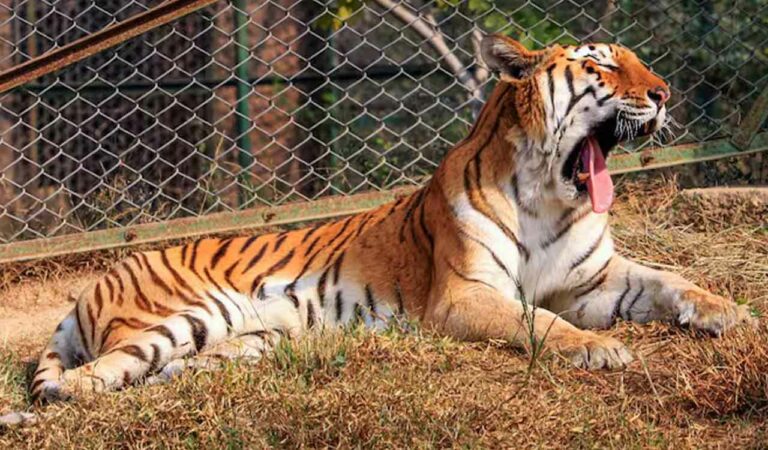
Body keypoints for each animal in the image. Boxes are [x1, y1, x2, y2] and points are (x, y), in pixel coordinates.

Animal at [26, 34, 754, 405]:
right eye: (603, 64)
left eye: (638, 62)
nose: (664, 93)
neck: (551, 192)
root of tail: (92, 286)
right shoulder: (466, 295)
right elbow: (536, 321)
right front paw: (598, 349)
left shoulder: (594, 281)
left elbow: (669, 279)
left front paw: (731, 312)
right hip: (174, 318)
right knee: (83, 381)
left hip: (252, 335)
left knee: (171, 369)